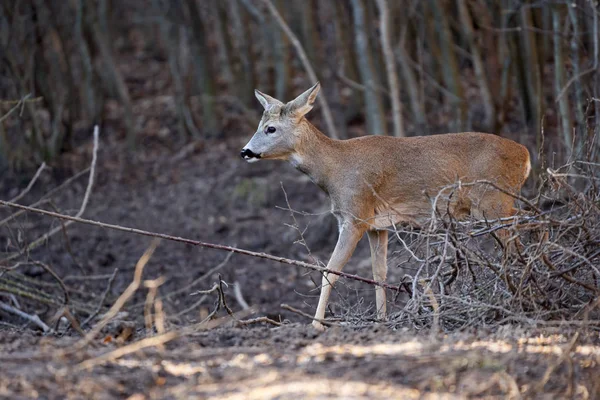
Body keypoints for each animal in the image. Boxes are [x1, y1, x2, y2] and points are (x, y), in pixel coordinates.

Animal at [239, 83, 528, 330]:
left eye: (271, 128)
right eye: (259, 125)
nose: (245, 151)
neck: (334, 169)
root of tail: (525, 155)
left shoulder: (355, 216)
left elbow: (330, 271)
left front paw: (316, 325)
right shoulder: (377, 225)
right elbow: (379, 273)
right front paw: (381, 319)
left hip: (493, 202)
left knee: (516, 243)